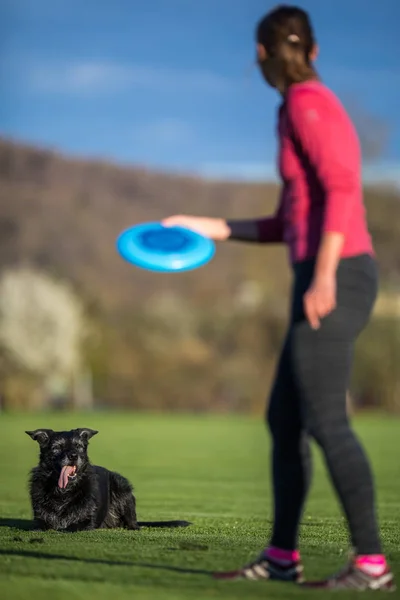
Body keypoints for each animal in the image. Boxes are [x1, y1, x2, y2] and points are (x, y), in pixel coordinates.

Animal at [25, 428, 191, 532]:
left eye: (79, 446)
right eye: (57, 447)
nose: (73, 455)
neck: (64, 493)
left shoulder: (86, 522)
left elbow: (71, 527)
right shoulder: (40, 522)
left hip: (121, 486)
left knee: (133, 524)